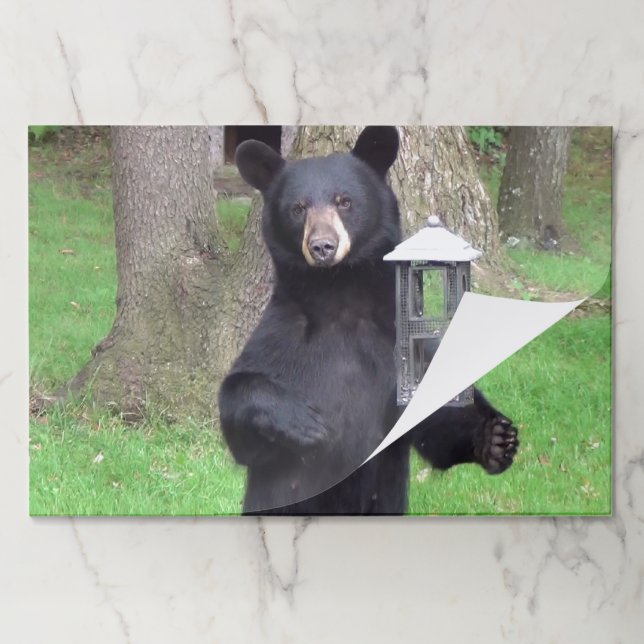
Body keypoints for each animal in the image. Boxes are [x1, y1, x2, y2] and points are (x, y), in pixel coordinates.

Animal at [218, 126, 518, 515]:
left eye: (344, 201)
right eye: (298, 208)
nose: (322, 246)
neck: (341, 293)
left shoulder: (399, 337)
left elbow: (435, 420)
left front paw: (496, 437)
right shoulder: (282, 333)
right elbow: (240, 413)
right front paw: (306, 424)